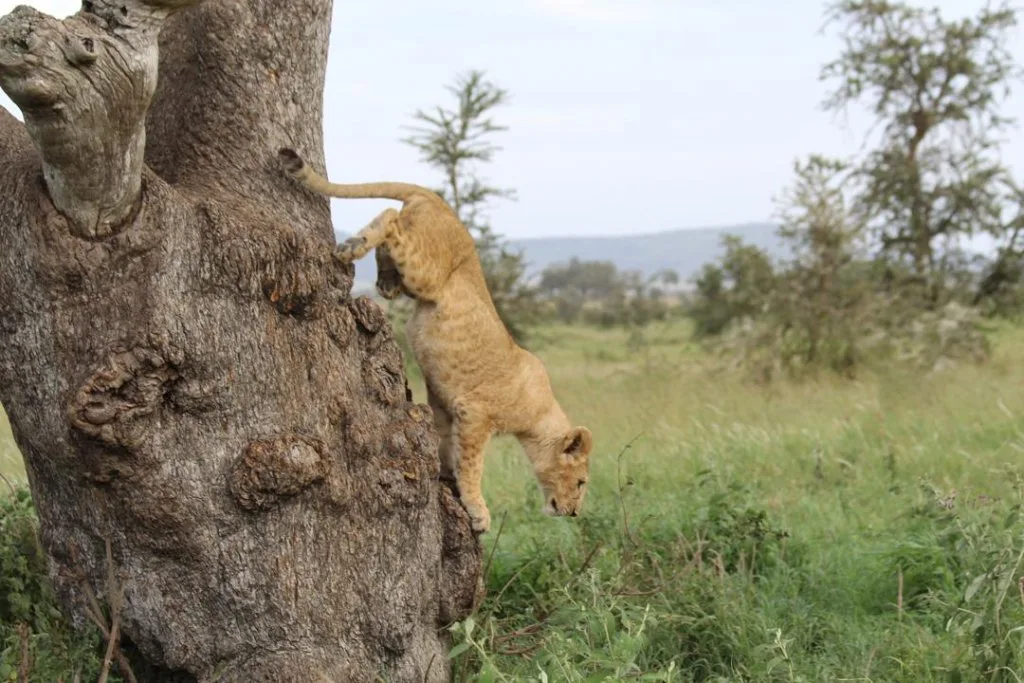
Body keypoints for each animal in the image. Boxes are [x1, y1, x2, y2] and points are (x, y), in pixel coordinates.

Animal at [278, 148, 593, 533]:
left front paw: (445, 475)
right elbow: (472, 465)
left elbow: (446, 444)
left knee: (393, 241)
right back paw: (353, 246)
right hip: (427, 274)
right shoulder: (475, 413)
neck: (539, 415)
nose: (575, 512)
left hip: (415, 283)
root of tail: (440, 202)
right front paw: (478, 511)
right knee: (390, 217)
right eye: (581, 482)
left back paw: (383, 277)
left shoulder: (448, 406)